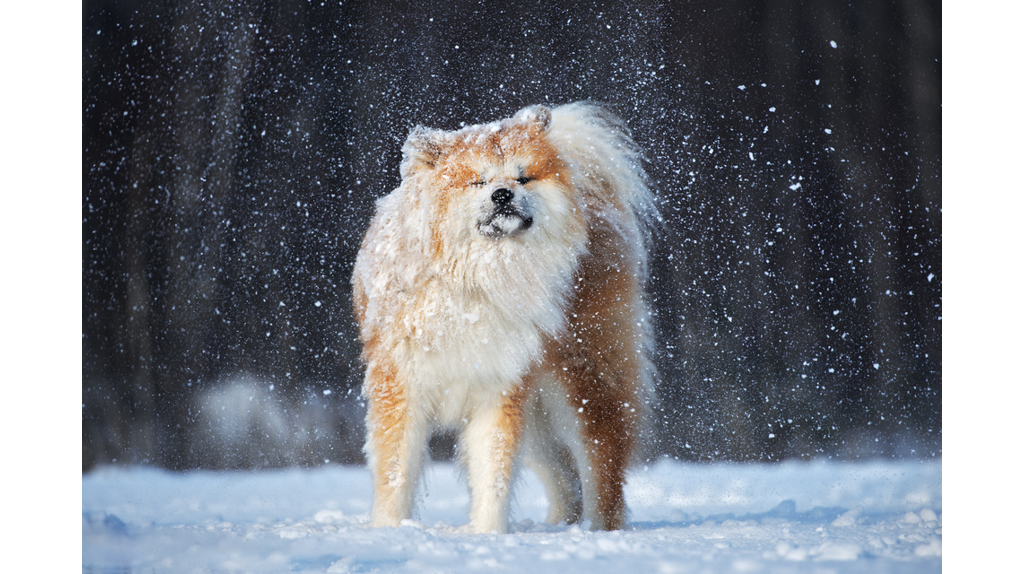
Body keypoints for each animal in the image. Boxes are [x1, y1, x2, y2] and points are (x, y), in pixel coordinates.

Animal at [350, 102, 655, 532]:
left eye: (523, 177)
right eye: (478, 181)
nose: (502, 193)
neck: (475, 284)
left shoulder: (497, 391)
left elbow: (493, 475)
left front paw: (487, 534)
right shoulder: (402, 388)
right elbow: (396, 473)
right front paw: (389, 532)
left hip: (584, 383)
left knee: (602, 464)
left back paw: (598, 532)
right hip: (540, 416)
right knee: (564, 477)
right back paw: (558, 527)